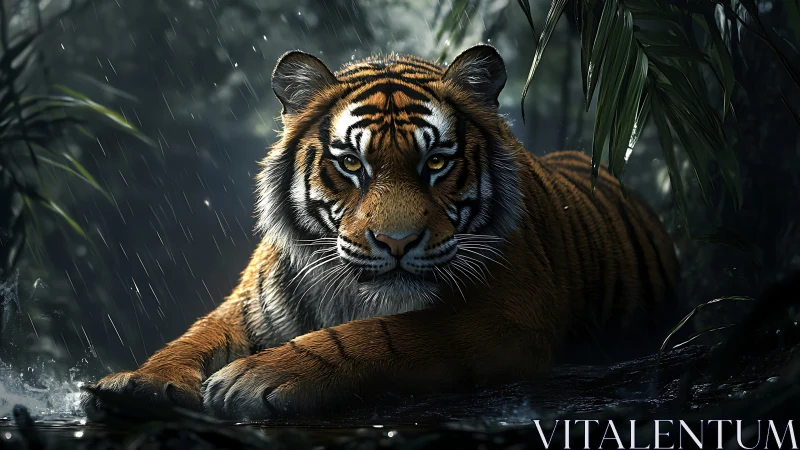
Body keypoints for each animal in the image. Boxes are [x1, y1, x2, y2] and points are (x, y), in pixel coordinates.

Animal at [82, 45, 679, 420]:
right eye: (351, 163)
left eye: (436, 162)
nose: (396, 243)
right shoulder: (248, 306)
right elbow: (195, 335)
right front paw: (137, 383)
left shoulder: (508, 319)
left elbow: (388, 334)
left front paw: (255, 377)